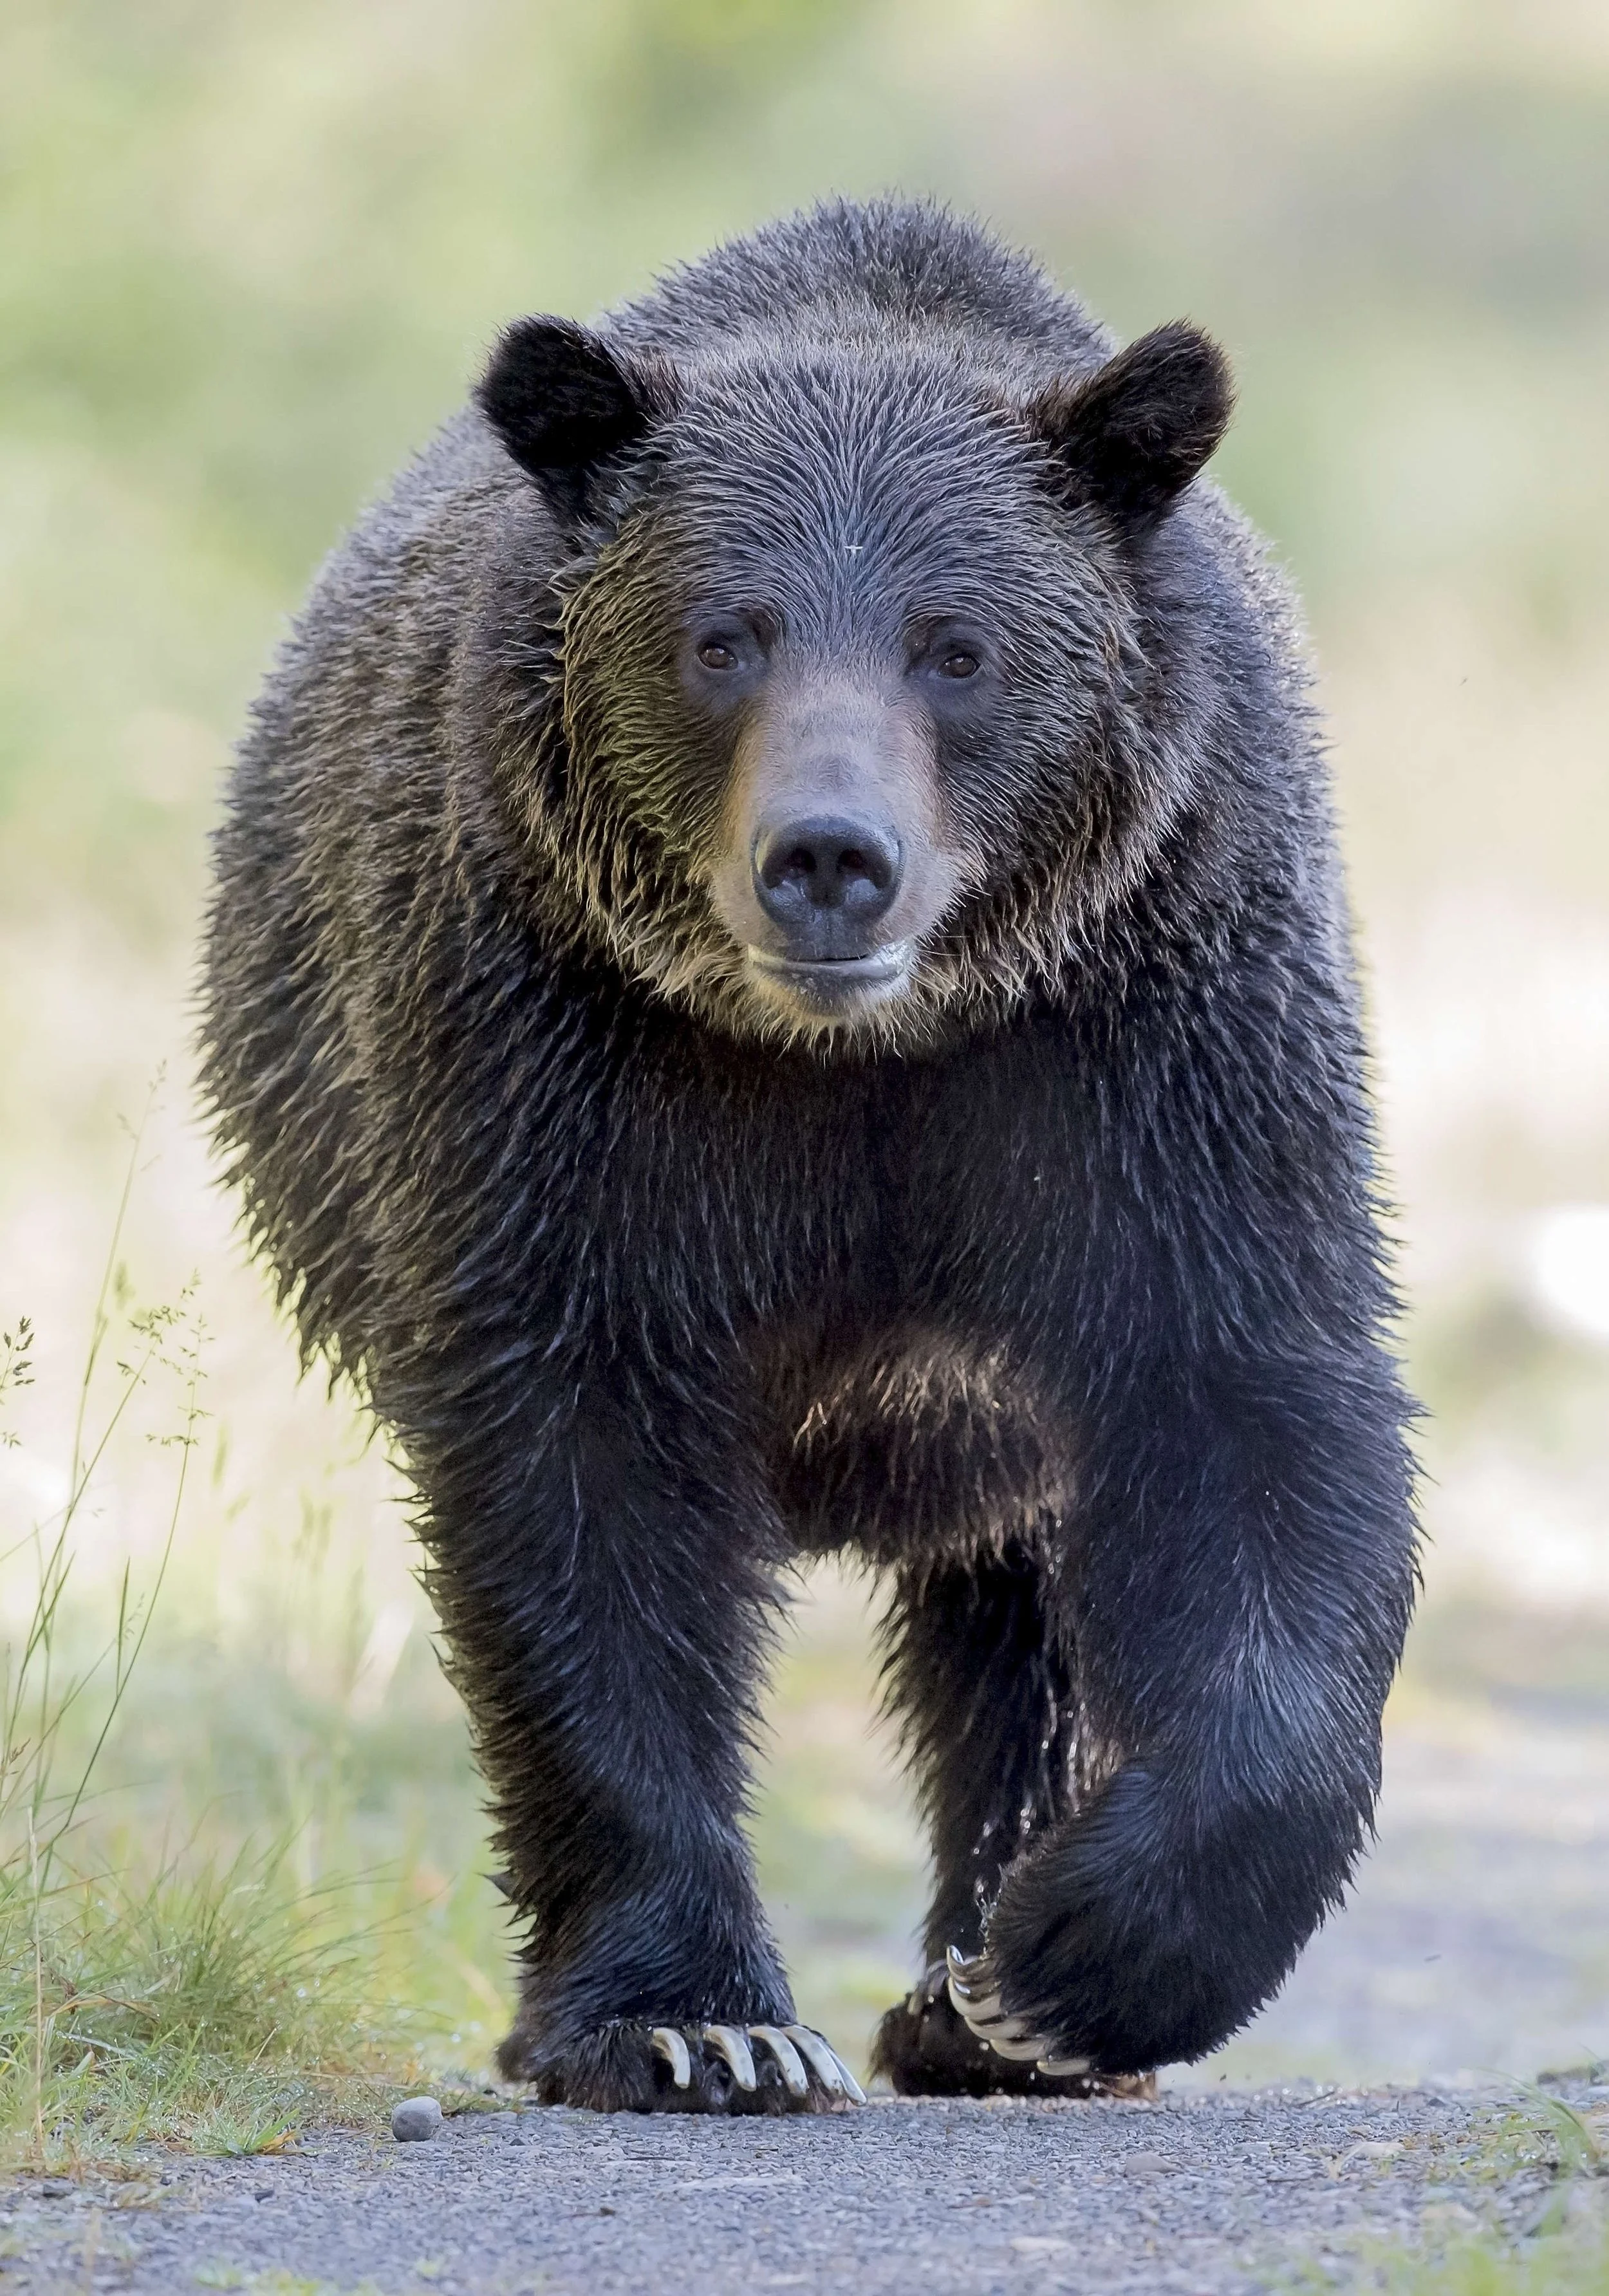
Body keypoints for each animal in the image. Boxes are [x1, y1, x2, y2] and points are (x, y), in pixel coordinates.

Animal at [200, 197, 1418, 2115]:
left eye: (956, 643)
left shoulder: (1146, 1032)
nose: (829, 856)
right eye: (723, 636)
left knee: (1025, 1597)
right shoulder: (562, 1049)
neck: (860, 1050)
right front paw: (695, 2018)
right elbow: (581, 1474)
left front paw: (1073, 1964)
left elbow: (1251, 1412)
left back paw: (972, 1987)